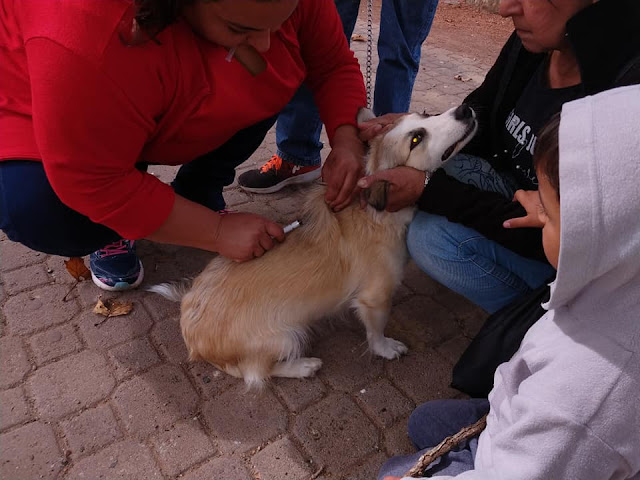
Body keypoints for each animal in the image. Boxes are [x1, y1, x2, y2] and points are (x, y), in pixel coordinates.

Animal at [150, 104, 476, 386]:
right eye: (416, 139)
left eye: (425, 114)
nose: (464, 109)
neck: (376, 214)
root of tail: (191, 329)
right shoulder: (375, 298)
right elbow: (376, 332)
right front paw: (385, 348)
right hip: (287, 335)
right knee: (255, 373)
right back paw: (302, 366)